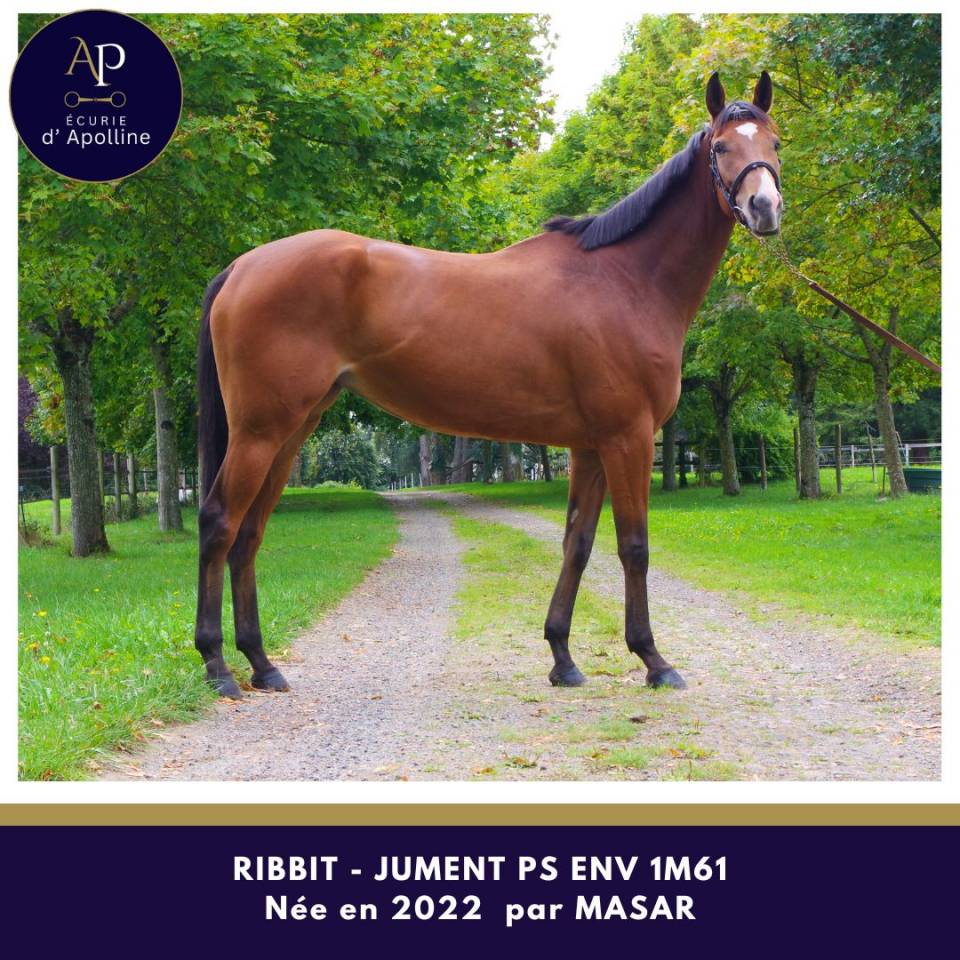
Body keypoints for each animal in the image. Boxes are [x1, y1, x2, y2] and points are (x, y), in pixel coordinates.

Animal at [194, 72, 783, 699]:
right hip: (260, 431)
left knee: (250, 533)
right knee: (219, 523)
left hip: (290, 431)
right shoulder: (628, 439)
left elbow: (577, 545)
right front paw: (653, 659)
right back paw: (218, 665)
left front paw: (562, 657)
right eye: (722, 147)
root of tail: (242, 266)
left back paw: (262, 663)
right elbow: (634, 546)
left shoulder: (590, 447)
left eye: (775, 142)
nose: (765, 207)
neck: (624, 279)